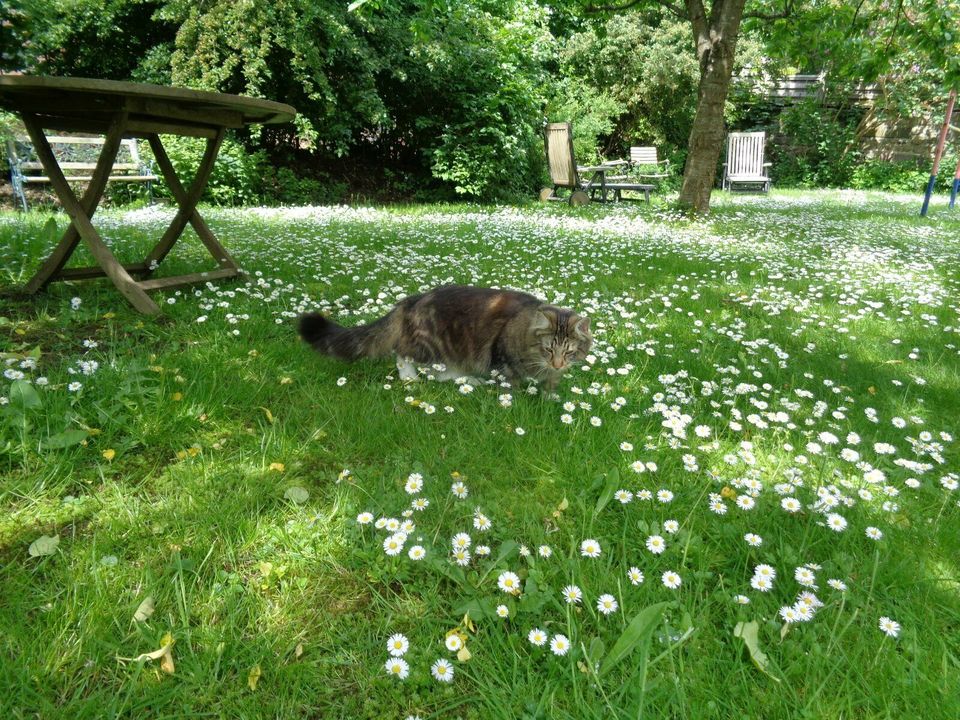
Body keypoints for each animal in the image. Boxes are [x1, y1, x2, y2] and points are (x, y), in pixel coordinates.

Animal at [298, 284, 592, 390]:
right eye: (548, 349)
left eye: (569, 352)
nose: (558, 363)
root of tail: (410, 300)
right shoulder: (502, 359)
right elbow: (512, 384)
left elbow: (551, 385)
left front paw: (550, 395)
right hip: (432, 347)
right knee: (404, 355)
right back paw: (412, 379)